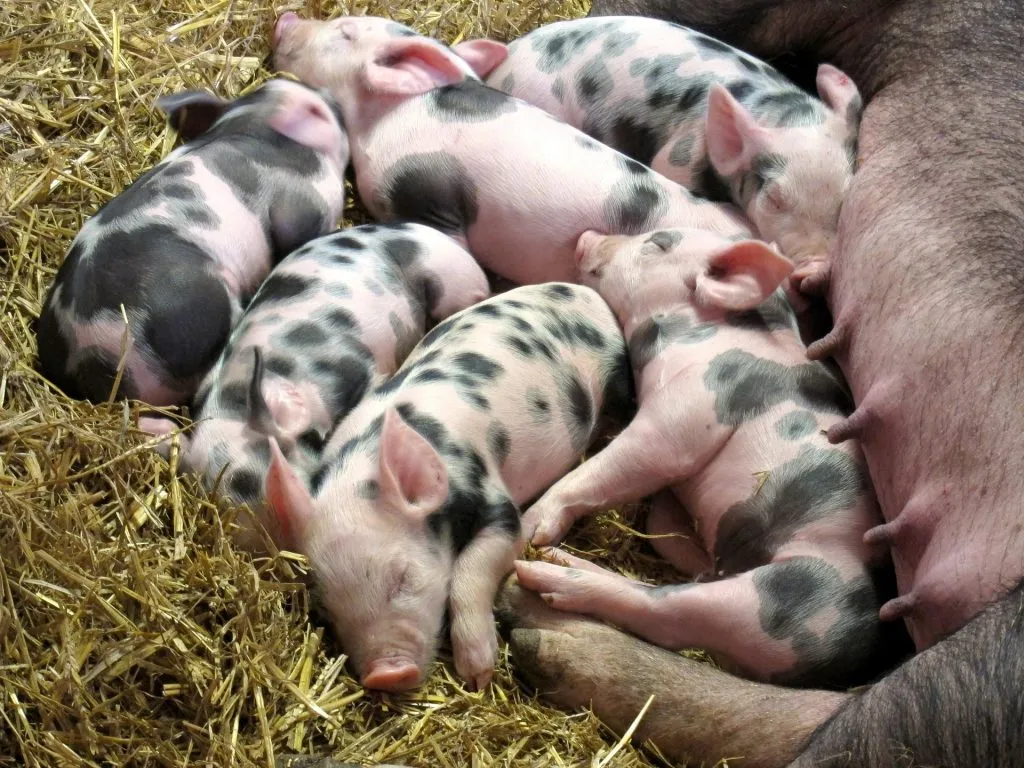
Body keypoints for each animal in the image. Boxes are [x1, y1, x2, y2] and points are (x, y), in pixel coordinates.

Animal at [35, 78, 349, 407]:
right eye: (325, 109)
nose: (334, 98)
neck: (252, 119)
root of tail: (92, 359)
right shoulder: (304, 206)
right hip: (208, 305)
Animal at [261, 283, 632, 692]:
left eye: (403, 578)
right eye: (327, 608)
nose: (386, 674)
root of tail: (584, 291)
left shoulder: (496, 501)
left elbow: (472, 568)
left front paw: (477, 674)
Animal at [516, 227, 890, 687]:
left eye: (658, 243)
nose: (587, 235)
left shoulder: (691, 407)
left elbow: (625, 462)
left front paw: (530, 527)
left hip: (788, 602)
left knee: (667, 612)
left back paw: (545, 567)